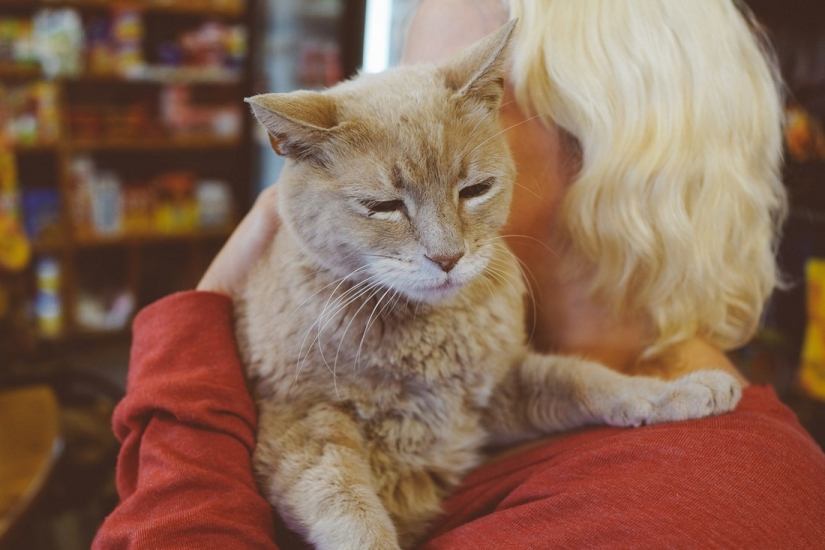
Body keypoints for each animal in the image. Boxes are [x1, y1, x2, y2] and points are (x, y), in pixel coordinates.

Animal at [237, 20, 740, 550]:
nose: (447, 257)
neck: (426, 343)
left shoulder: (496, 393)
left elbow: (585, 380)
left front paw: (678, 391)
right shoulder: (299, 426)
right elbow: (347, 506)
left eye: (475, 190)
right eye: (383, 206)